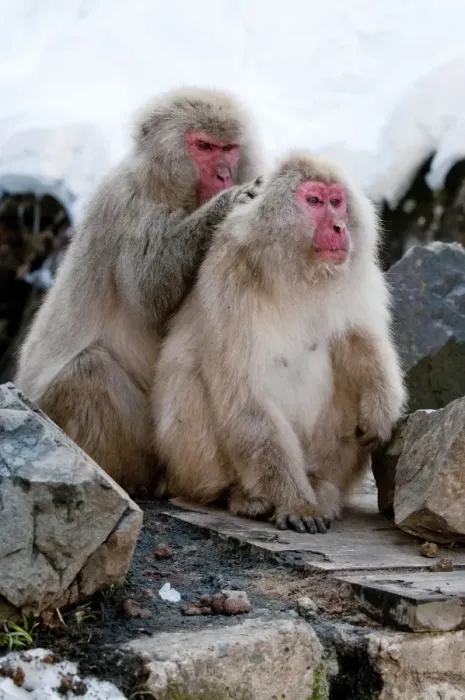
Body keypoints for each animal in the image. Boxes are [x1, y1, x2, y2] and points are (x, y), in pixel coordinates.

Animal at [14, 87, 263, 497]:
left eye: (229, 148)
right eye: (204, 146)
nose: (224, 174)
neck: (166, 188)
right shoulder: (130, 209)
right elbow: (150, 294)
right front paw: (227, 205)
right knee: (88, 372)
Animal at [152, 151, 406, 532]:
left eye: (336, 202)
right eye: (313, 201)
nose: (339, 227)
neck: (296, 274)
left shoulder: (357, 274)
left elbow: (359, 339)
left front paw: (380, 409)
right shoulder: (230, 281)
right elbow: (245, 395)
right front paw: (296, 503)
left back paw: (320, 485)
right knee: (189, 381)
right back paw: (242, 496)